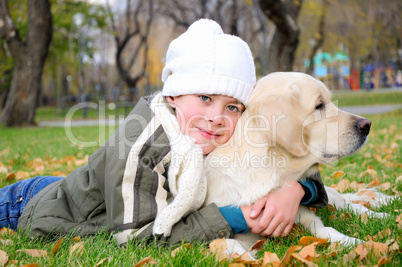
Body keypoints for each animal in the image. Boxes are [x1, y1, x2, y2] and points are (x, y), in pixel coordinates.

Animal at [204, 72, 392, 250]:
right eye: (319, 105)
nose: (367, 125)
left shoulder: (302, 213)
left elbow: (327, 230)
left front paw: (356, 243)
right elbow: (228, 243)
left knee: (351, 204)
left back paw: (382, 214)